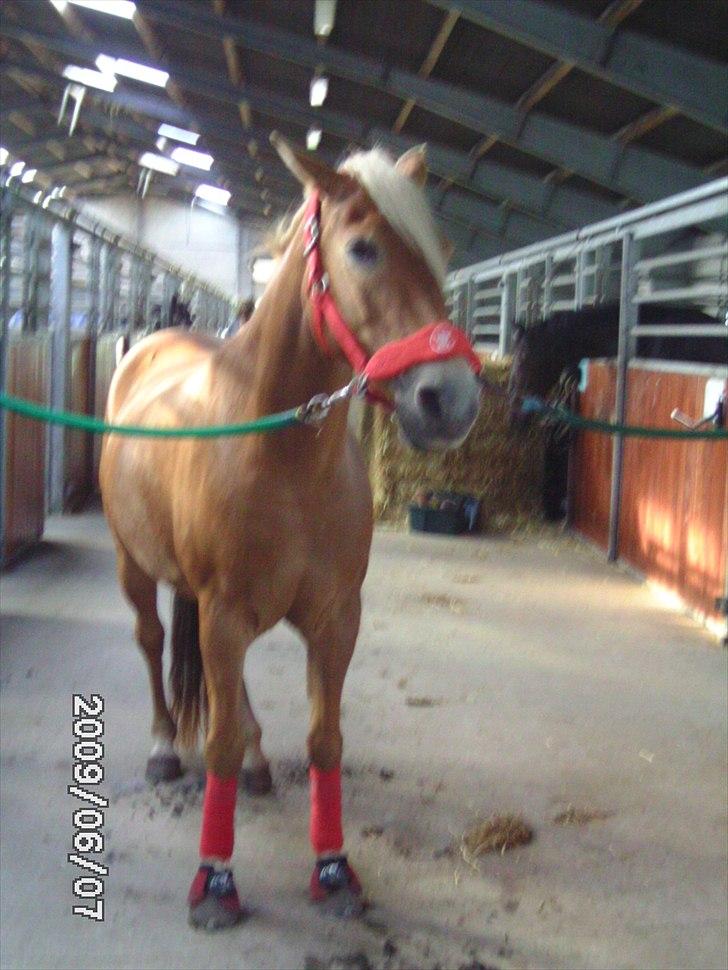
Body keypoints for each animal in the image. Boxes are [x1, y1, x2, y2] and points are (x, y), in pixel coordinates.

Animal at [98, 136, 484, 932]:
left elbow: (324, 739)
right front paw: (215, 881)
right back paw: (163, 747)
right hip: (136, 568)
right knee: (153, 646)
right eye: (363, 248)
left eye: (439, 252)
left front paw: (333, 870)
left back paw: (255, 762)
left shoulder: (335, 618)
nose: (451, 399)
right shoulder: (223, 612)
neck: (277, 454)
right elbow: (212, 742)